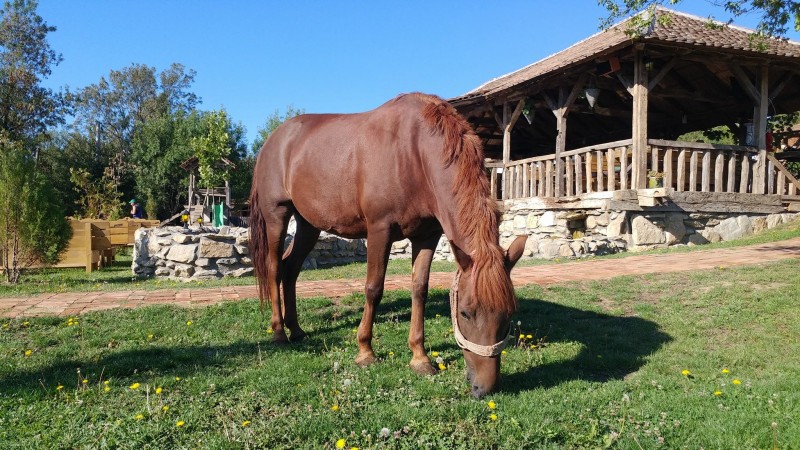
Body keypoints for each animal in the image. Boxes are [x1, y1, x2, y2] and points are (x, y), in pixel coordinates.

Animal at [250, 92, 524, 398]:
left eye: (509, 313)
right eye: (465, 312)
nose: (483, 388)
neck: (415, 153)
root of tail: (274, 140)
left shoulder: (427, 236)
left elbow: (420, 290)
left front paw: (419, 358)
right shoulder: (379, 230)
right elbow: (373, 289)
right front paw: (365, 352)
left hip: (308, 223)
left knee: (291, 269)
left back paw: (296, 329)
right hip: (277, 216)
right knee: (275, 269)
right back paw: (279, 333)